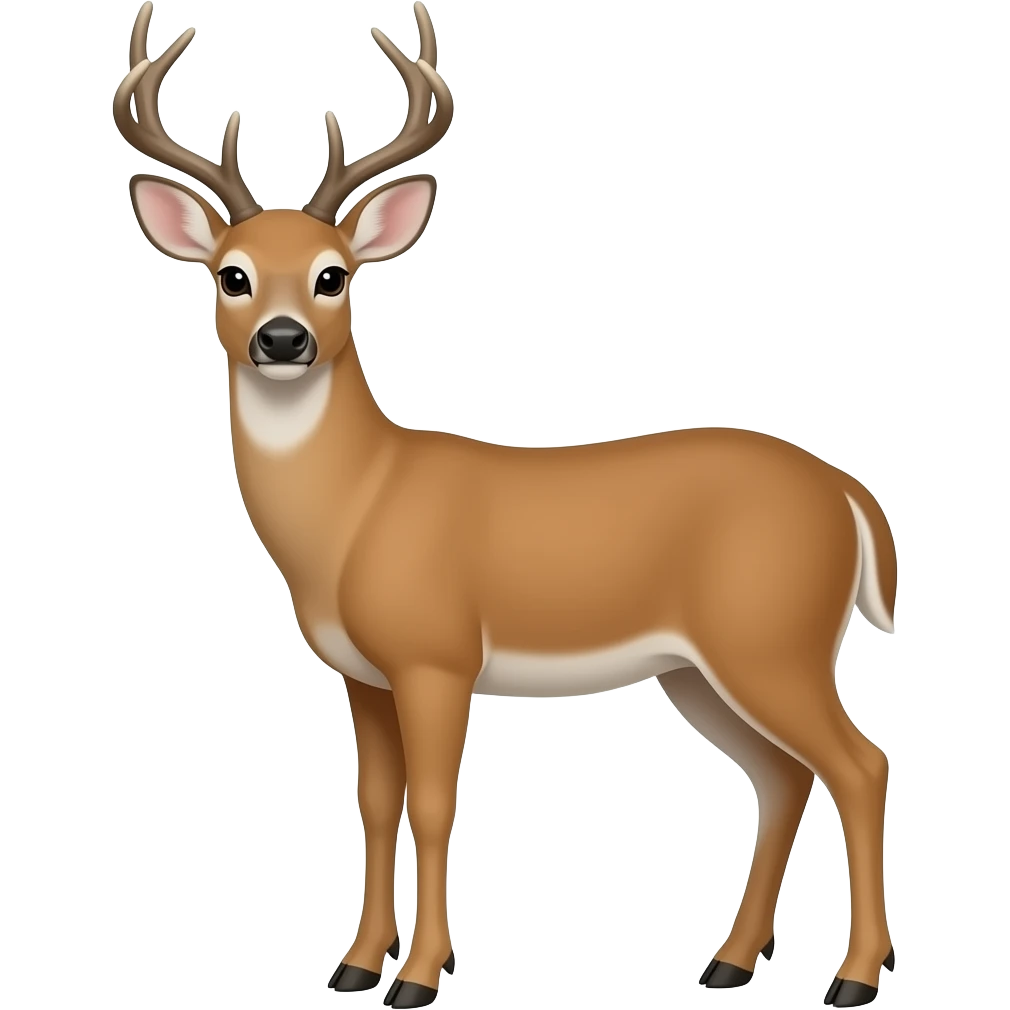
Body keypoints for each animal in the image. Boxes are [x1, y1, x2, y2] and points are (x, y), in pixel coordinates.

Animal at [114, 3, 898, 1007]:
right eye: (231, 274)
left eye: (334, 275)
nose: (282, 340)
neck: (358, 507)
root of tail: (848, 492)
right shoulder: (362, 673)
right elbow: (374, 803)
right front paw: (354, 963)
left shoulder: (437, 655)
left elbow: (433, 804)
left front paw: (417, 978)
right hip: (702, 667)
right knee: (784, 777)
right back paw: (727, 963)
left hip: (772, 636)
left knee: (860, 764)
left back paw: (855, 978)